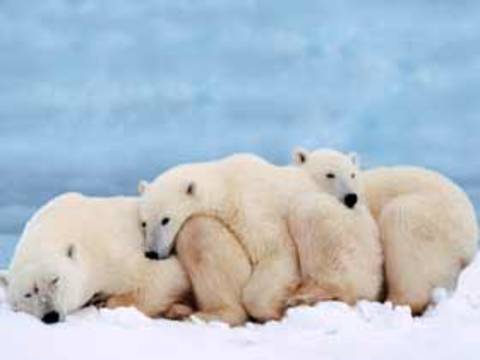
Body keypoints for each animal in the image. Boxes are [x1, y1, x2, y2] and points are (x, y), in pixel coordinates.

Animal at [0, 194, 191, 324]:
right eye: (28, 294)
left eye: (55, 280)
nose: (51, 315)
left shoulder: (117, 251)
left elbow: (165, 275)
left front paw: (105, 301)